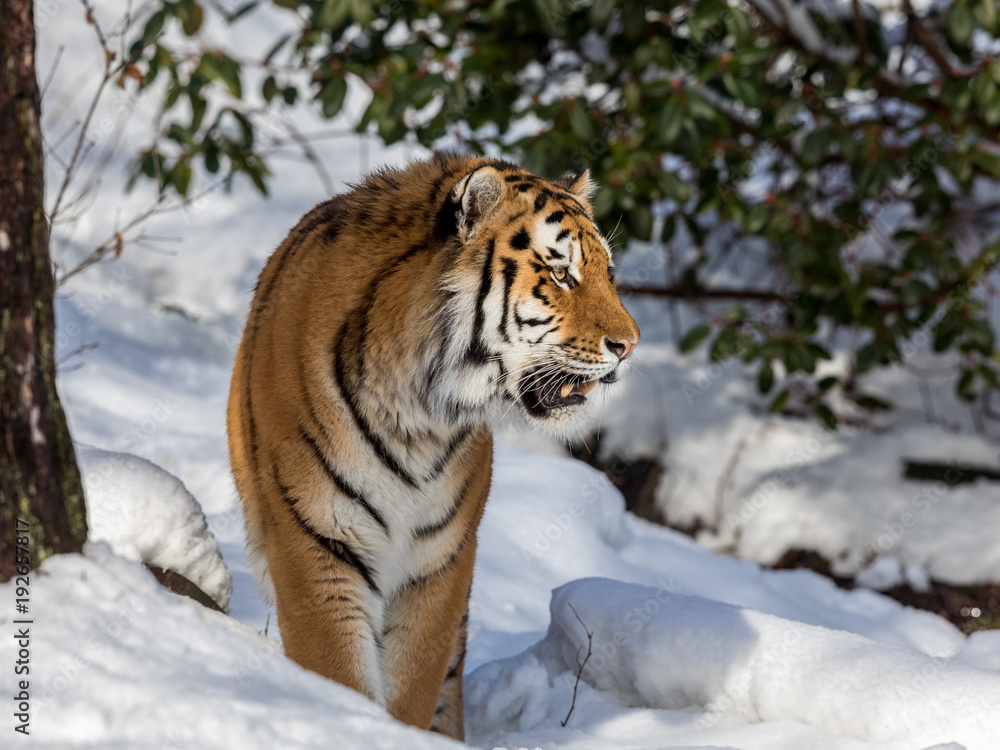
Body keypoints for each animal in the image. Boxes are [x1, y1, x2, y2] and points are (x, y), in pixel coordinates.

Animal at [226, 153, 636, 740]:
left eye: (609, 273)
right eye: (561, 273)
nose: (630, 346)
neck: (418, 413)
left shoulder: (438, 564)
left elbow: (412, 689)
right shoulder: (315, 542)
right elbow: (337, 673)